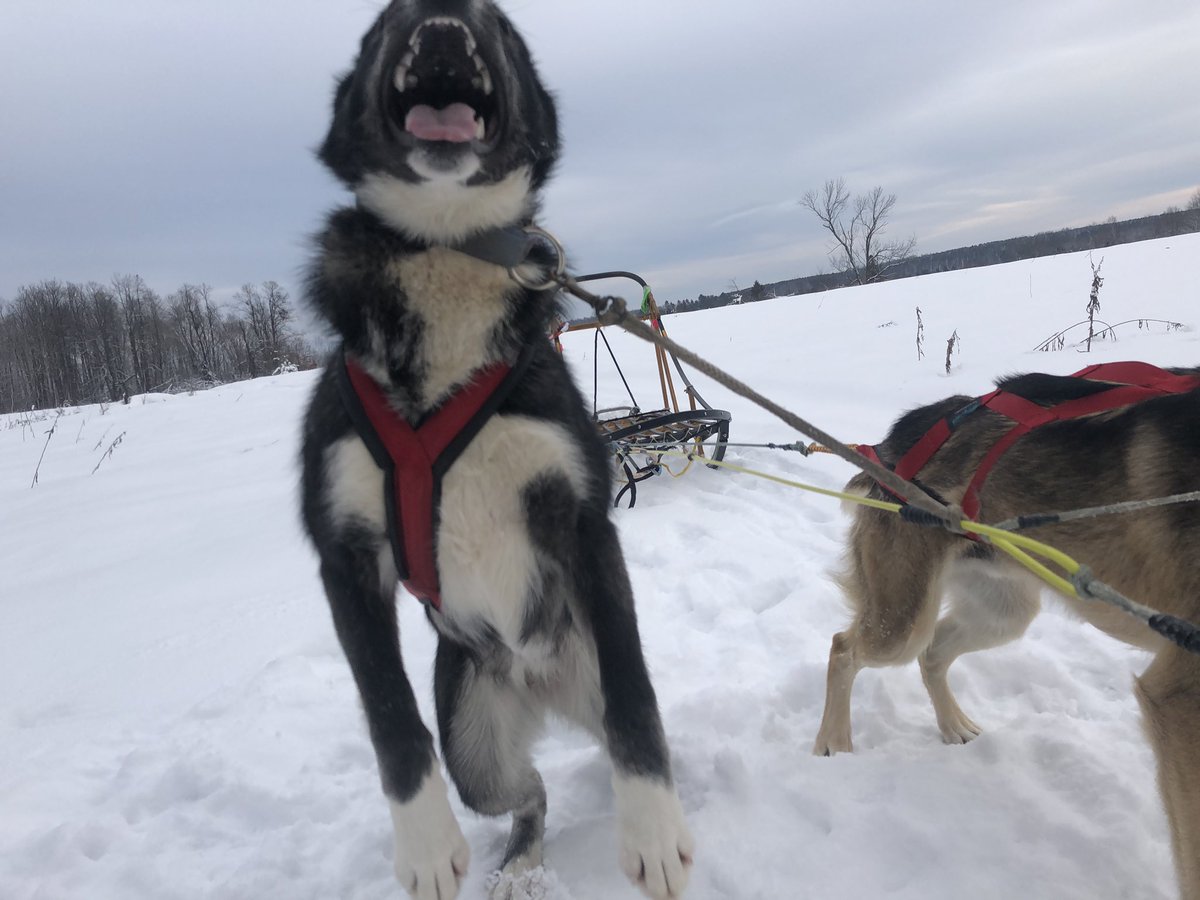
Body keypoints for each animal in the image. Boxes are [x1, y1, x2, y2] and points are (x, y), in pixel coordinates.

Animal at [298, 1, 696, 900]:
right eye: (380, 23)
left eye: (503, 26)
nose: (443, 13)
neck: (449, 250)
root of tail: (537, 682)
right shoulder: (344, 555)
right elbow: (389, 717)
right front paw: (422, 844)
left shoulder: (583, 520)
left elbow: (638, 703)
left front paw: (652, 828)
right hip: (475, 740)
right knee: (530, 791)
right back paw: (517, 867)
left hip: (582, 665)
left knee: (634, 725)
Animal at [816, 362, 1200, 897]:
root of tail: (889, 444)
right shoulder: (1178, 695)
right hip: (902, 622)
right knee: (844, 647)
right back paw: (835, 742)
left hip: (1003, 611)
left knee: (933, 654)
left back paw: (953, 726)